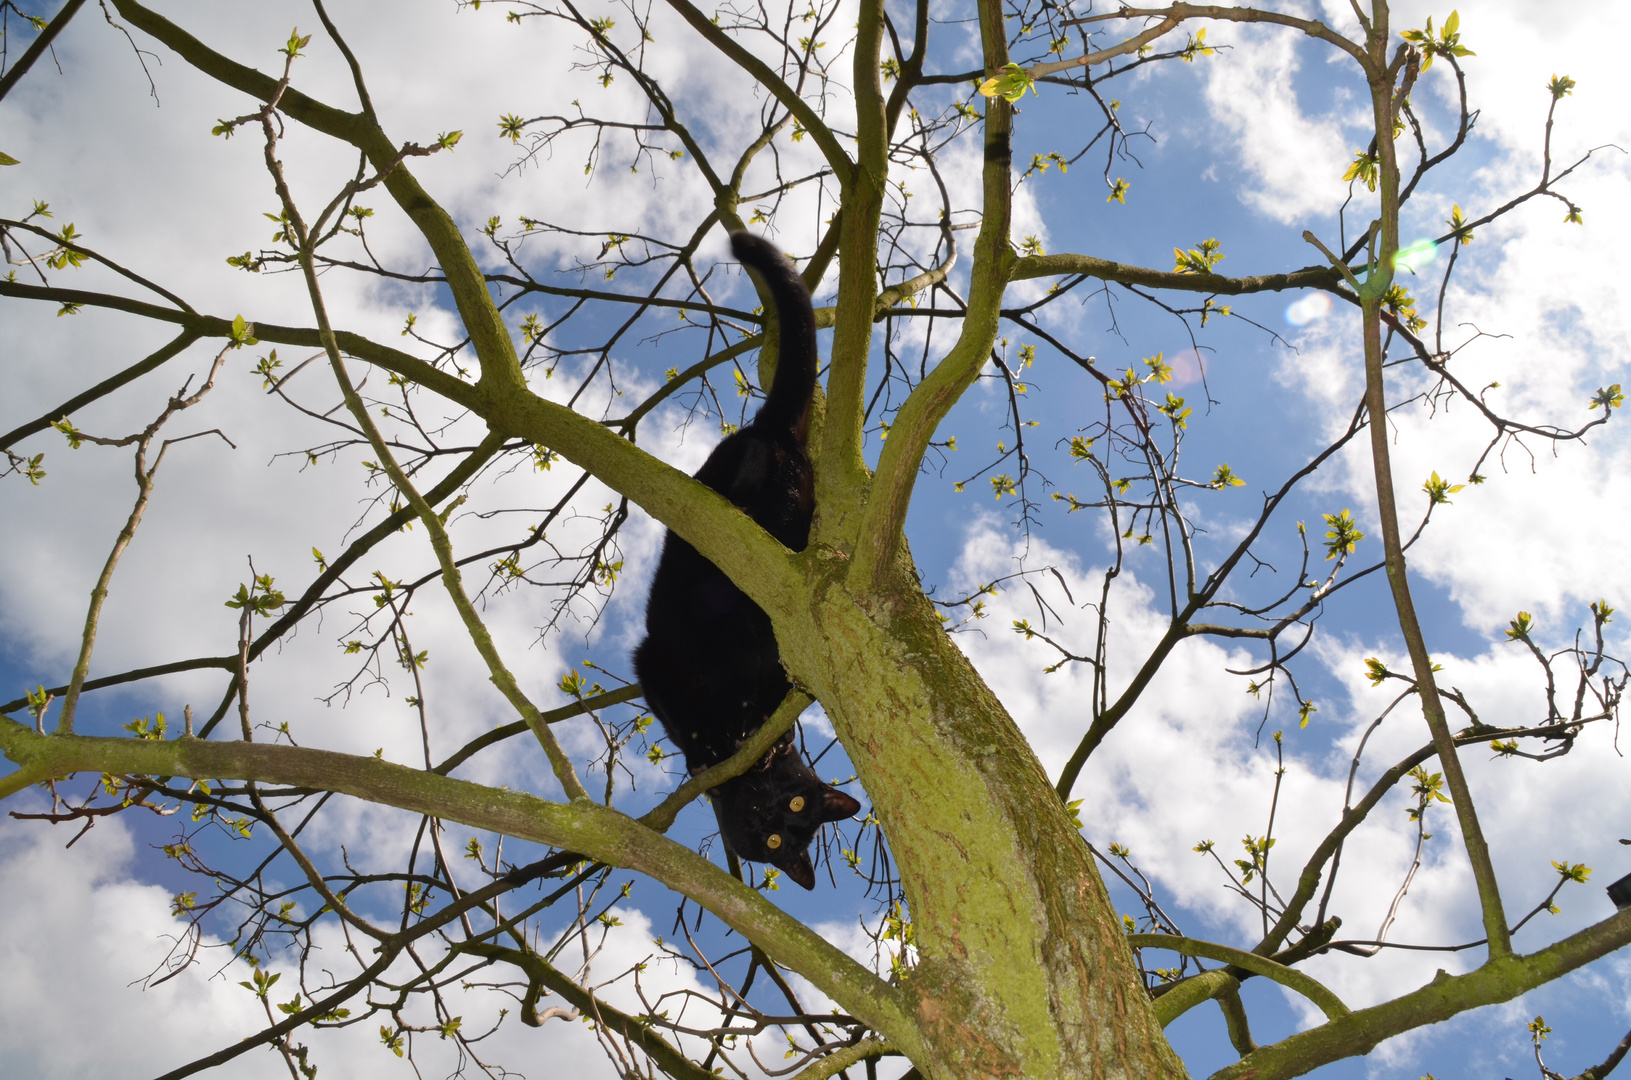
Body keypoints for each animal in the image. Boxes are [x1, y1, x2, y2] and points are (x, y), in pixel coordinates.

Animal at [632, 233, 867, 894]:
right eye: (793, 807)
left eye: (791, 825)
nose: (772, 817)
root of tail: (786, 436)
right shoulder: (655, 660)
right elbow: (680, 718)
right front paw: (707, 754)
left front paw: (763, 737)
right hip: (742, 487)